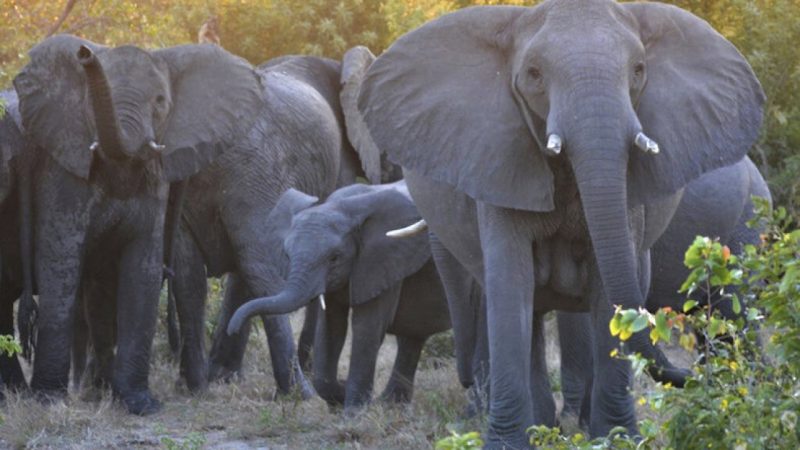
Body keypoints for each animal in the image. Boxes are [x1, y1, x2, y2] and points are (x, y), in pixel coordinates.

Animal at [12, 35, 262, 414]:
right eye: (89, 97)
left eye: (159, 102)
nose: (84, 53)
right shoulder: (64, 168)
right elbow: (61, 259)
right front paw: (48, 401)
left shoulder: (155, 178)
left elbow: (142, 265)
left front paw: (140, 404)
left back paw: (98, 388)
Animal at [225, 182, 454, 412]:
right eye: (288, 256)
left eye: (334, 258)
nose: (231, 329)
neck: (344, 207)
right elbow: (331, 327)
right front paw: (341, 396)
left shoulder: (383, 259)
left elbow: (367, 326)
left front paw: (353, 413)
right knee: (412, 336)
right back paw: (391, 405)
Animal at [360, 0, 764, 444]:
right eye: (534, 74)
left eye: (639, 70)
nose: (687, 378)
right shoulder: (501, 163)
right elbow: (510, 287)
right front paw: (509, 443)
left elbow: (607, 292)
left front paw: (617, 439)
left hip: (745, 229)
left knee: (734, 315)